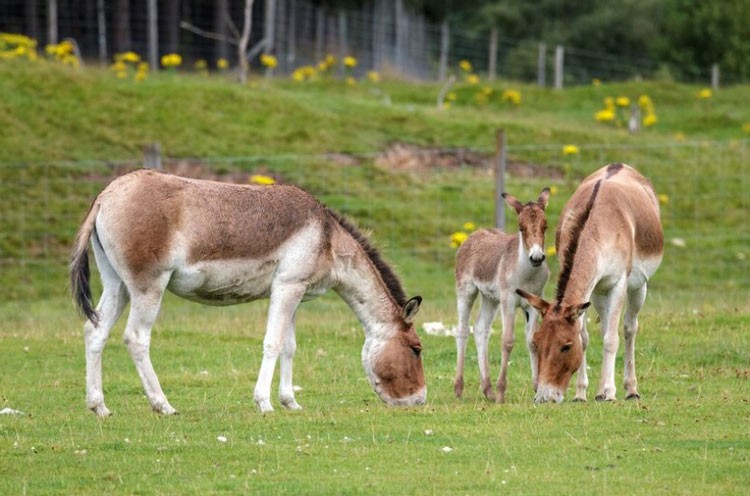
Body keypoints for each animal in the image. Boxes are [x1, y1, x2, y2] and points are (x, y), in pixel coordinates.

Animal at [71, 169, 426, 416]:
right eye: (416, 349)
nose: (420, 401)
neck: (327, 236)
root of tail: (107, 194)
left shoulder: (293, 293)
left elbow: (289, 347)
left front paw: (290, 402)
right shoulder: (287, 287)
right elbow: (272, 344)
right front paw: (264, 403)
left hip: (117, 285)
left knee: (95, 331)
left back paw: (99, 407)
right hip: (148, 286)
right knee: (136, 338)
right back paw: (163, 405)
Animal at [452, 188, 552, 402]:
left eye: (545, 226)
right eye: (521, 228)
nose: (537, 258)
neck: (527, 273)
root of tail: (475, 234)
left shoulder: (534, 302)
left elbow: (533, 341)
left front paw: (537, 388)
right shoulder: (508, 299)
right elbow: (507, 341)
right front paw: (500, 392)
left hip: (490, 299)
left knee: (480, 329)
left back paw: (487, 389)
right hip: (466, 292)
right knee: (462, 331)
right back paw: (459, 388)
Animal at [520, 163, 660, 404]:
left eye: (566, 347)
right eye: (536, 342)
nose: (544, 397)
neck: (596, 226)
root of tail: (620, 165)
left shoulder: (618, 285)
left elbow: (611, 339)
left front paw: (611, 392)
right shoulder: (588, 291)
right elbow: (585, 338)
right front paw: (581, 393)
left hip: (638, 287)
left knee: (629, 328)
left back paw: (630, 389)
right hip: (599, 293)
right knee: (605, 326)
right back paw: (600, 391)